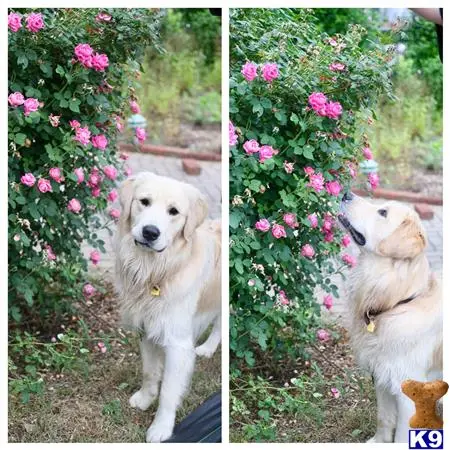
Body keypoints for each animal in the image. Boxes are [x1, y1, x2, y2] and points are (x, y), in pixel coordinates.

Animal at [113, 172, 221, 442]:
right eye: (144, 202)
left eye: (174, 211)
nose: (150, 232)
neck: (156, 271)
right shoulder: (147, 330)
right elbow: (150, 372)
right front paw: (144, 399)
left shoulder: (178, 346)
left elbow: (169, 392)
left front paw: (161, 428)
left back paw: (208, 347)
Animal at [340, 192, 442, 442]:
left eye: (382, 212)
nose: (346, 193)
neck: (397, 302)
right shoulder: (383, 376)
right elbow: (384, 418)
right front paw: (378, 442)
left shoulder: (409, 391)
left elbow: (404, 435)